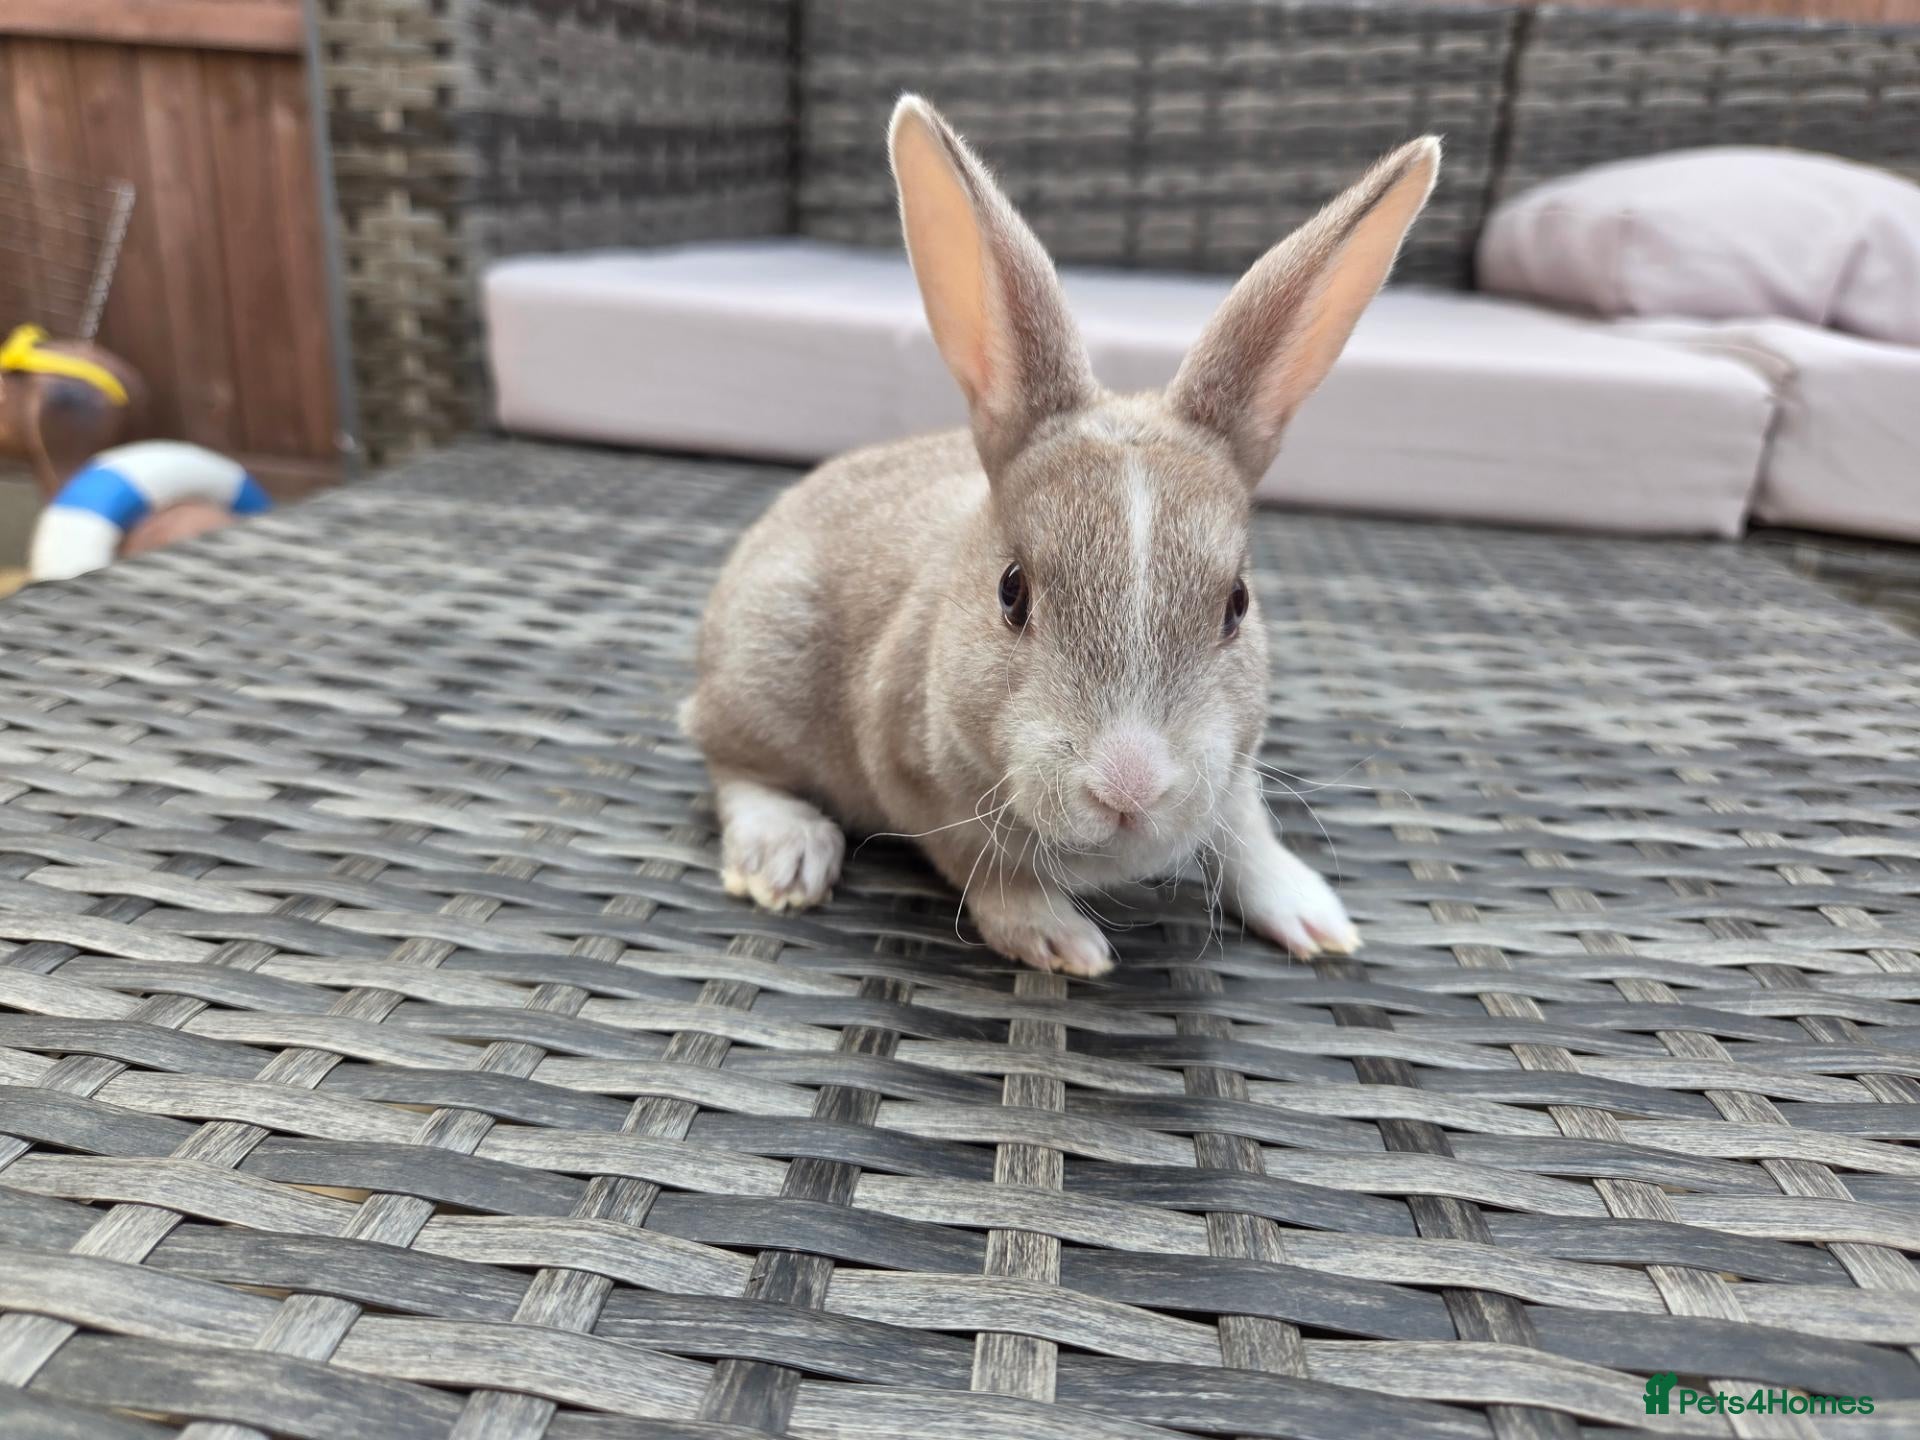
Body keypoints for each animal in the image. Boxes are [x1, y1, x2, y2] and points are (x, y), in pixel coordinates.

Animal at [684, 94, 1439, 977]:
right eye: (1012, 592)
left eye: (1238, 604)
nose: (1129, 786)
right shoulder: (915, 783)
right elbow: (987, 868)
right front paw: (1059, 939)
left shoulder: (1236, 769)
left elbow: (1245, 828)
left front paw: (1316, 920)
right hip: (761, 671)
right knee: (728, 757)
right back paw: (786, 857)